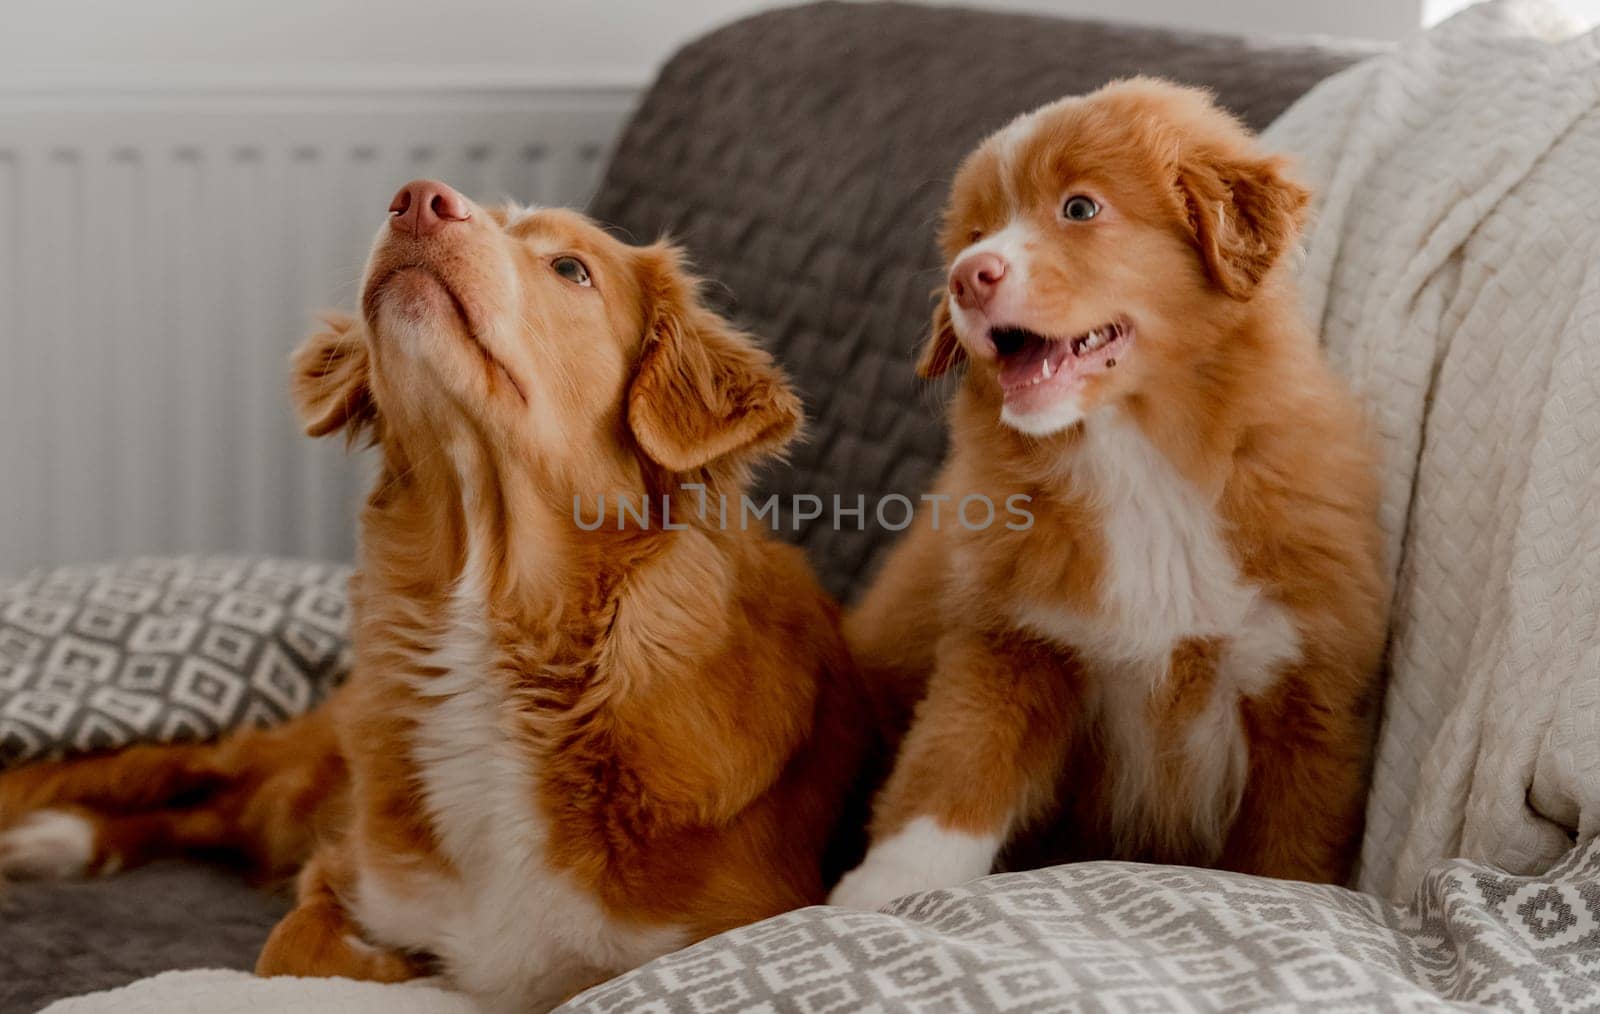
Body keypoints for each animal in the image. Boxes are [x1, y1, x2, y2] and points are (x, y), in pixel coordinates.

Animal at [0, 179, 870, 1004]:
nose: (418, 198)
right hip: (294, 768)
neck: (489, 617)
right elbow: (293, 952)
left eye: (571, 269)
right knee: (188, 779)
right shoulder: (347, 872)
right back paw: (53, 835)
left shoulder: (714, 927)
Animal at [832, 75, 1395, 902]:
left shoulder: (1303, 693)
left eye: (1079, 208)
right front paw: (872, 900)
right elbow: (947, 779)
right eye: (975, 232)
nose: (968, 275)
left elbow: (1289, 857)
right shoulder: (1012, 643)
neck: (1135, 460)